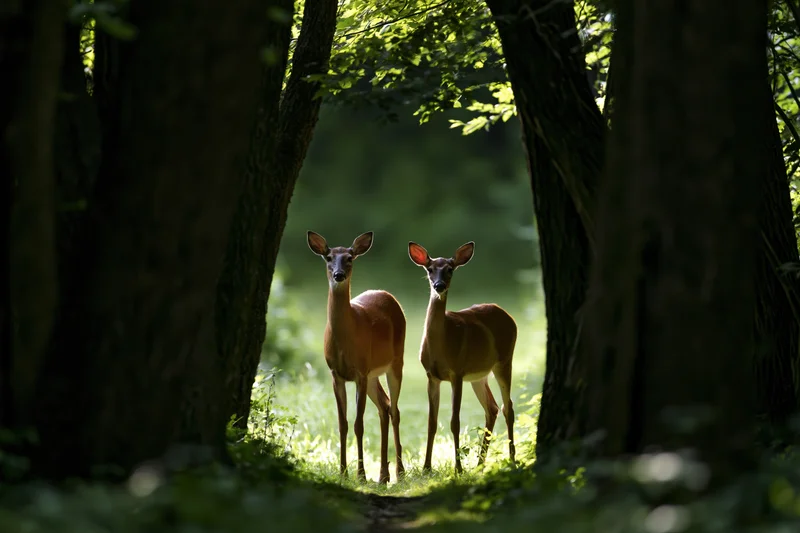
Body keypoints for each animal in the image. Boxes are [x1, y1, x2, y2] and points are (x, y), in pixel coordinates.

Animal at [307, 230, 406, 484]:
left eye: (350, 257)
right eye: (328, 257)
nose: (339, 274)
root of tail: (387, 294)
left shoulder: (360, 373)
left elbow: (359, 424)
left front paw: (360, 475)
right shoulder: (337, 374)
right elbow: (342, 424)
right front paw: (342, 471)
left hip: (395, 362)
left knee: (395, 410)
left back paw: (399, 472)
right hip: (372, 374)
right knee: (385, 406)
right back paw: (383, 475)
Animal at [407, 240, 517, 474]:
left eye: (450, 269)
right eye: (430, 269)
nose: (439, 286)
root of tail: (506, 313)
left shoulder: (456, 373)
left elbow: (454, 422)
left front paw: (457, 468)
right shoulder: (432, 376)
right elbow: (431, 422)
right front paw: (426, 467)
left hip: (505, 360)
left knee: (508, 407)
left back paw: (511, 460)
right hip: (479, 375)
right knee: (492, 408)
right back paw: (479, 464)